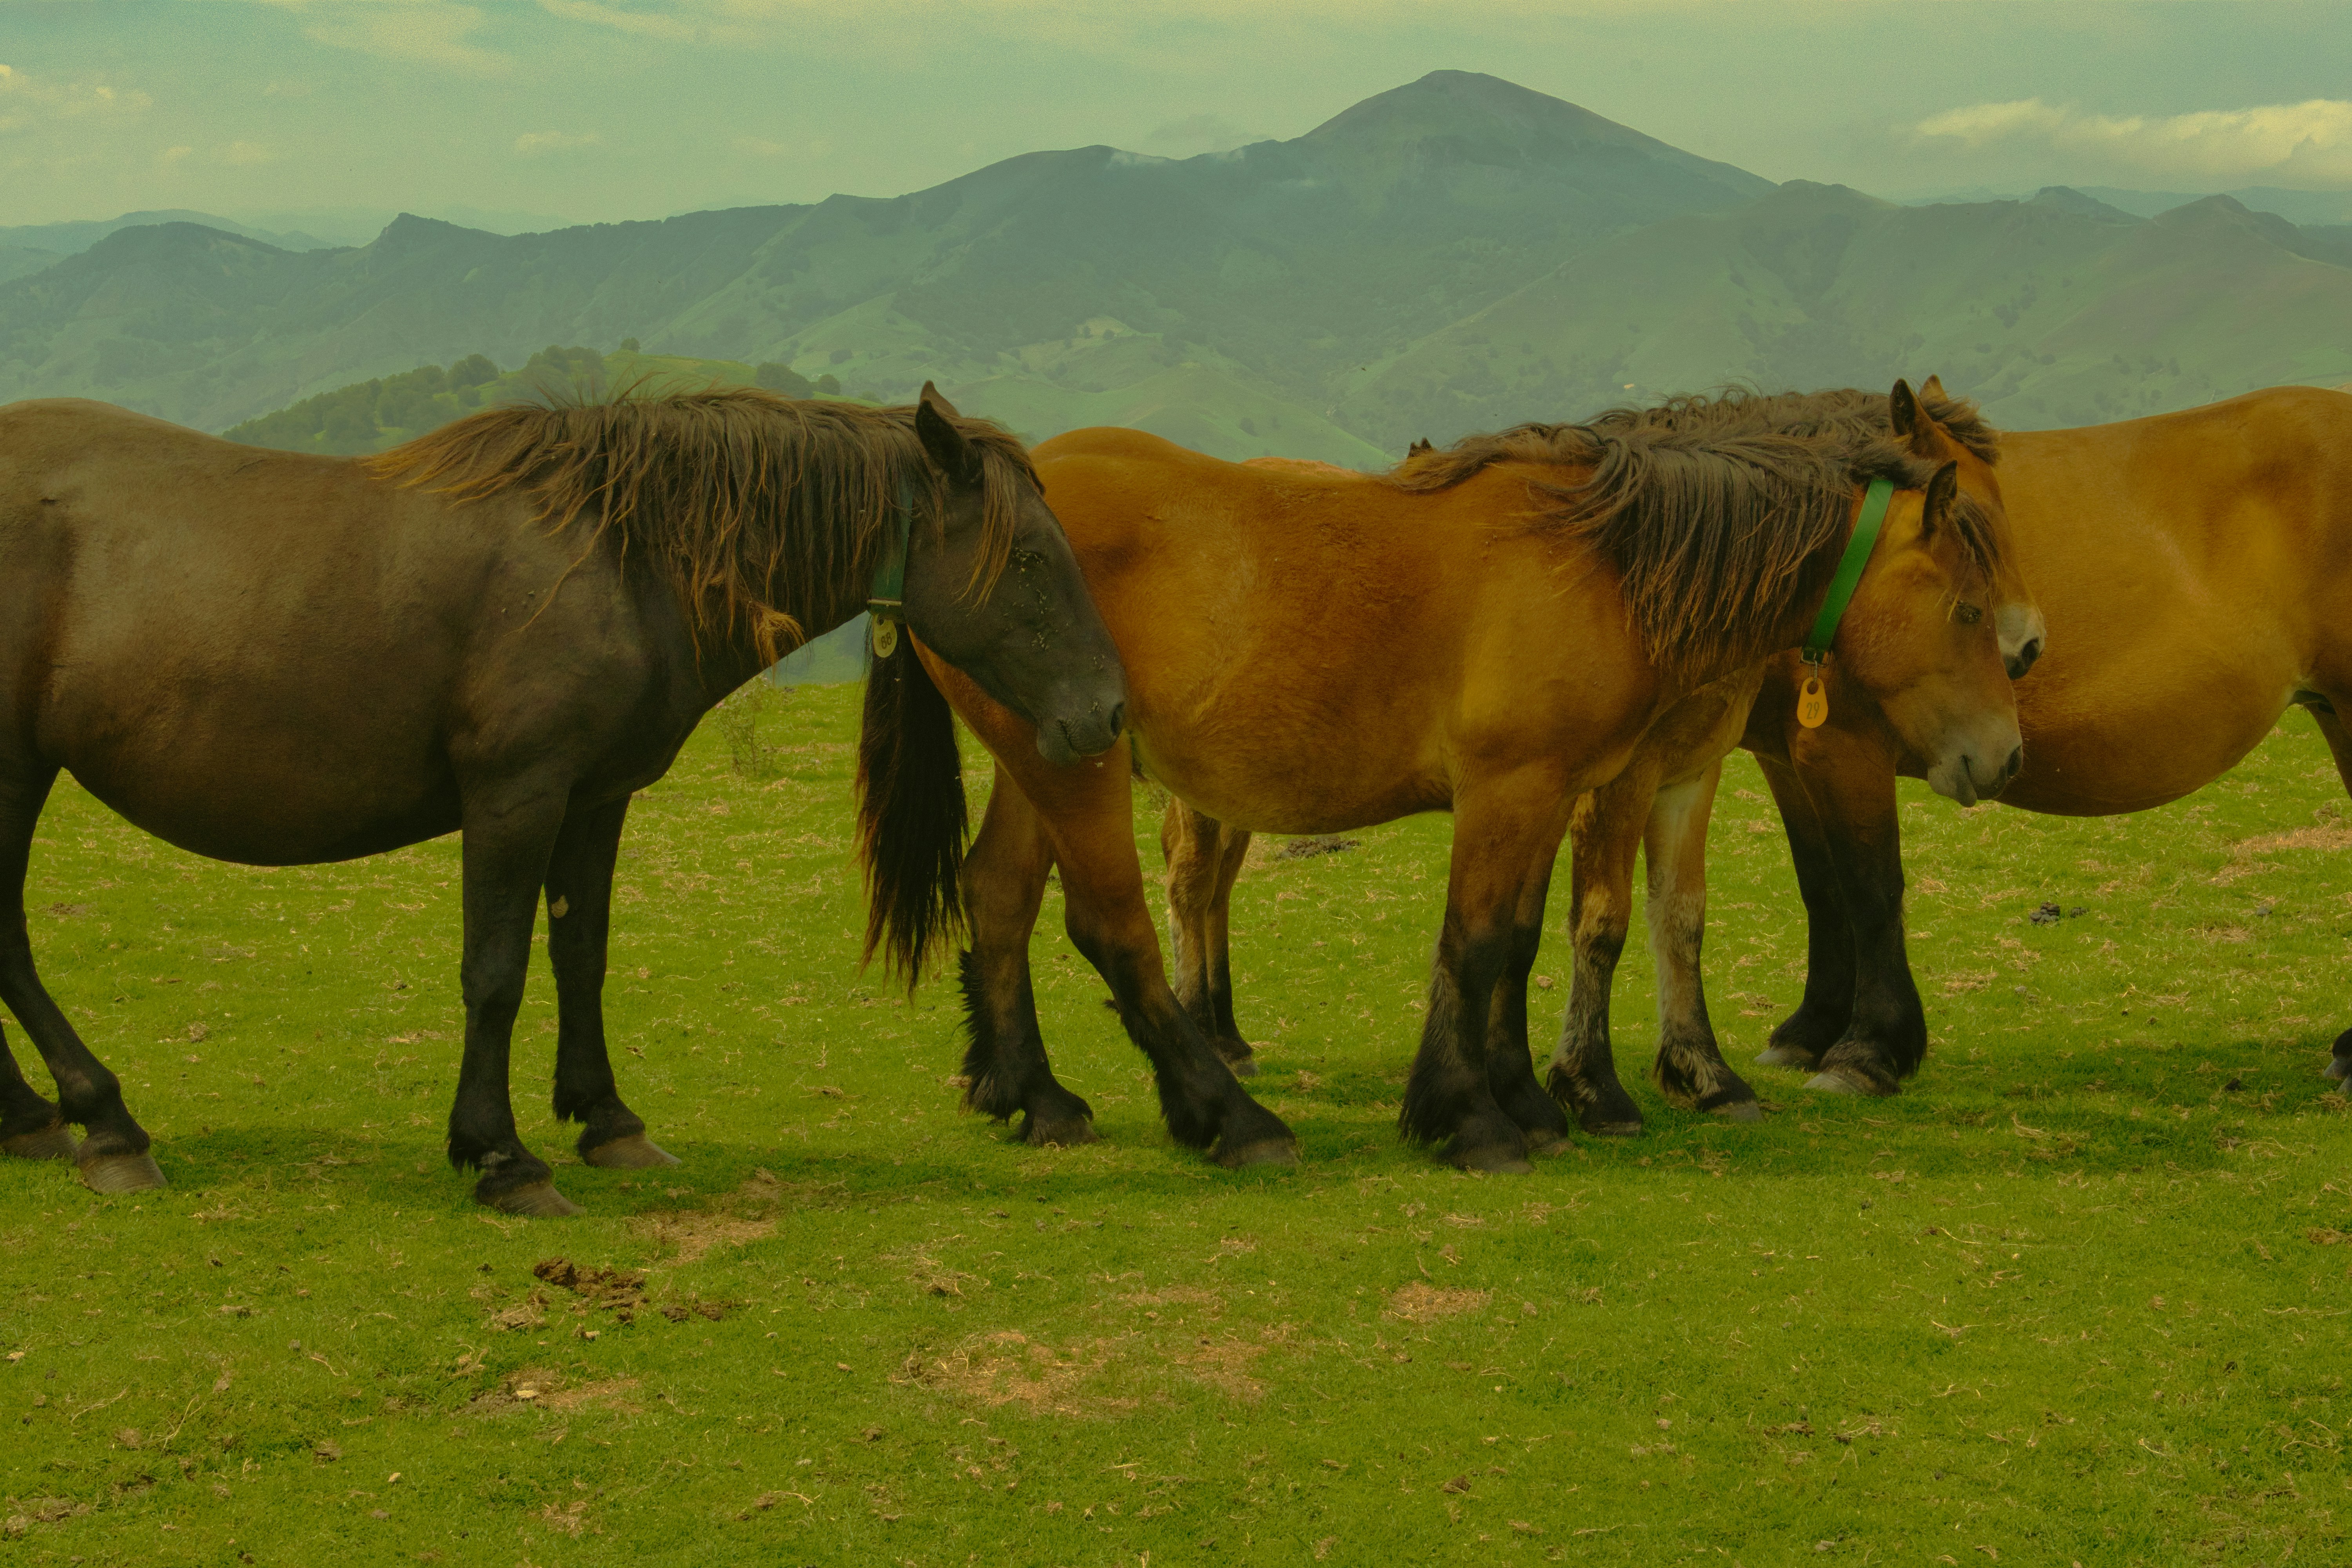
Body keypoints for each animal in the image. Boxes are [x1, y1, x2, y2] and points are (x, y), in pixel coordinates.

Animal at [0, 384, 1127, 1213]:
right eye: (1030, 558)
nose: (1107, 711)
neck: (622, 557)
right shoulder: (517, 795)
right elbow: (496, 971)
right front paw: (501, 1157)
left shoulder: (595, 797)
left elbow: (581, 951)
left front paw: (608, 1120)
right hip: (15, 768)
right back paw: (105, 1121)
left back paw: (36, 1119)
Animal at [893, 399, 2023, 1172]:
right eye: (1968, 609)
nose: (2005, 754)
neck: (1601, 562)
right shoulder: (1513, 788)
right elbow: (1478, 946)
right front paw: (1472, 1119)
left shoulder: (1552, 791)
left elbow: (1517, 944)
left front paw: (1530, 1100)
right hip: (1076, 768)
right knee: (1112, 927)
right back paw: (1232, 1119)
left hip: (1040, 759)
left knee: (999, 897)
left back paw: (1031, 1095)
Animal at [1738, 381, 2352, 1094]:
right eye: (1963, 527)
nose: (2026, 645)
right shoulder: (1790, 755)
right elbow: (1823, 888)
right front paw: (1810, 1032)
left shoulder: (1844, 749)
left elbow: (1870, 890)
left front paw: (1868, 1052)